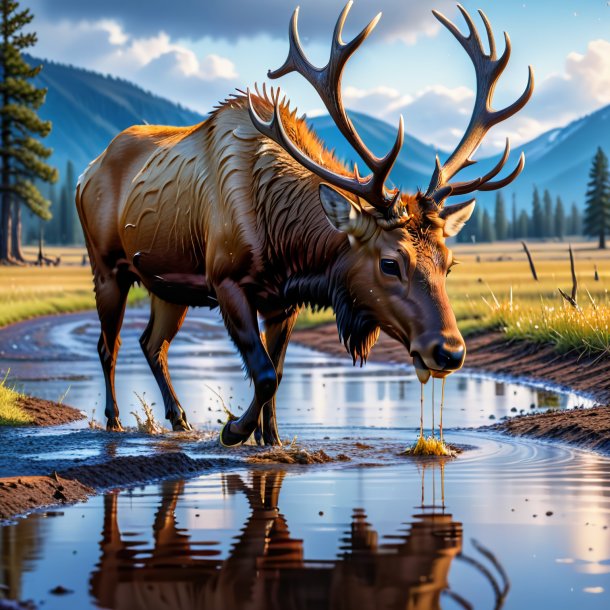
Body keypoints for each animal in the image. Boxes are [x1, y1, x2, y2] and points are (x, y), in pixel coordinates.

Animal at [76, 3, 532, 442]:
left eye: (448, 263)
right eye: (390, 263)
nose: (450, 351)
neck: (285, 244)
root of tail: (85, 172)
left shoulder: (283, 300)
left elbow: (277, 373)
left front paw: (272, 440)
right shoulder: (225, 280)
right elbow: (263, 374)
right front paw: (233, 430)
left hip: (168, 284)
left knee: (152, 344)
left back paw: (179, 419)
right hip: (107, 268)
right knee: (109, 344)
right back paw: (114, 421)